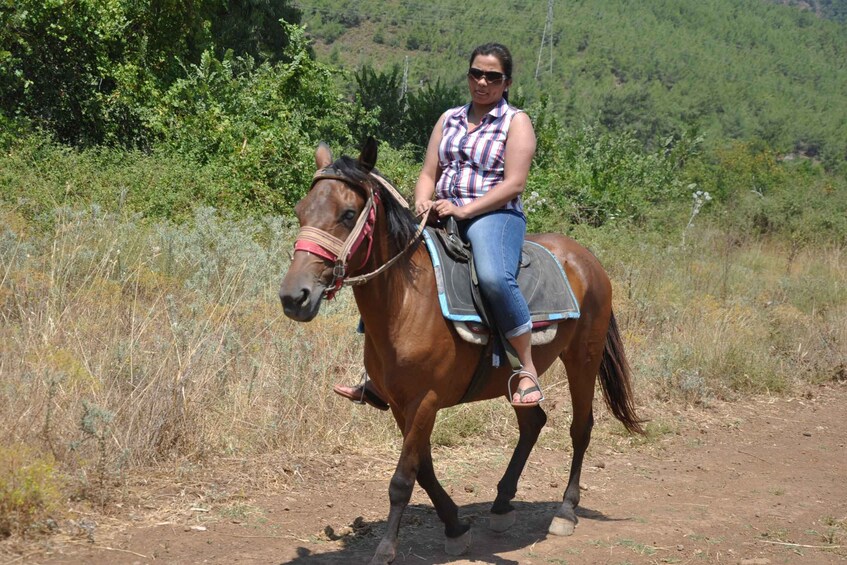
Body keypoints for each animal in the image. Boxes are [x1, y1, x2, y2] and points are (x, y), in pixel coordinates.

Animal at [278, 138, 644, 564]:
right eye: (301, 210)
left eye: (348, 213)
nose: (294, 296)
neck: (407, 301)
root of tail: (587, 260)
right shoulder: (401, 404)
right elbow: (423, 469)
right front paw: (455, 526)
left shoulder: (425, 400)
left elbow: (402, 478)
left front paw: (386, 549)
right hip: (516, 377)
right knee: (532, 422)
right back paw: (501, 504)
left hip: (583, 358)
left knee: (580, 428)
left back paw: (565, 512)